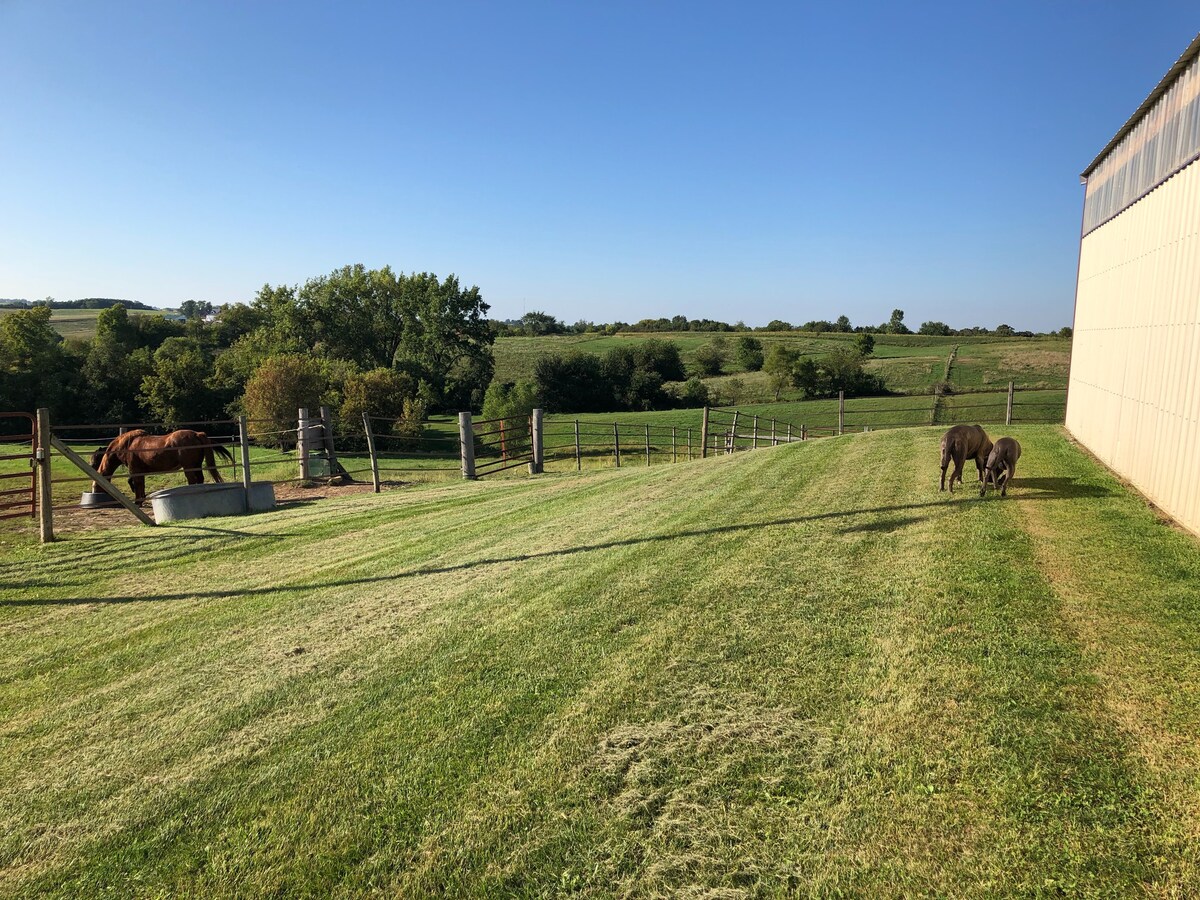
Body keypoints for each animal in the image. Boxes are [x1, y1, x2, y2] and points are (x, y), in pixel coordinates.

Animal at [89, 432, 234, 508]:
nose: (94, 492)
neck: (127, 446)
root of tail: (197, 434)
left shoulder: (135, 471)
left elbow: (137, 484)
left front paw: (138, 502)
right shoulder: (140, 471)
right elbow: (138, 484)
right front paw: (141, 498)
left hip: (189, 467)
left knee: (192, 480)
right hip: (196, 466)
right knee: (200, 480)